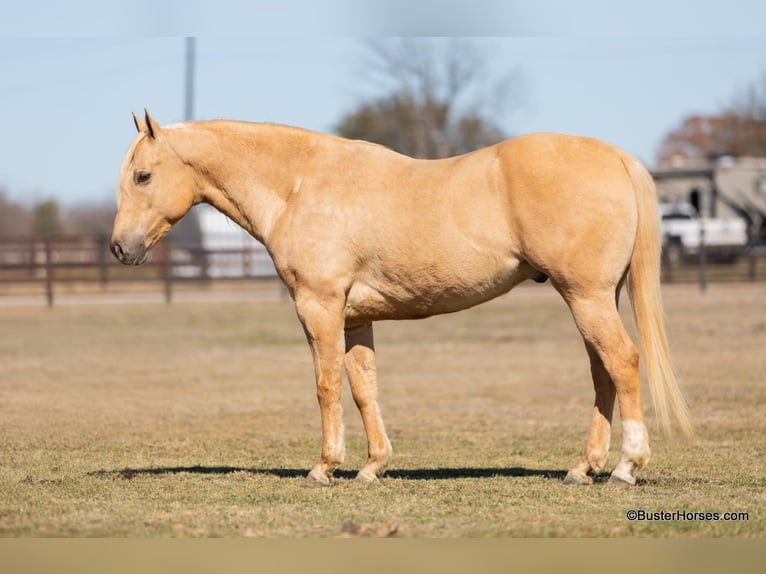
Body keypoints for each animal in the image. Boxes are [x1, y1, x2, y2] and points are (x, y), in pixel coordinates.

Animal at [111, 109, 691, 487]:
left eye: (143, 175)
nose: (120, 247)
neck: (301, 185)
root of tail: (616, 157)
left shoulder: (319, 307)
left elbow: (325, 385)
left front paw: (325, 468)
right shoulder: (355, 318)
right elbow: (364, 388)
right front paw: (373, 467)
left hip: (587, 297)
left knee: (622, 362)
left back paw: (625, 468)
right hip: (592, 298)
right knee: (603, 375)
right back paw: (583, 468)